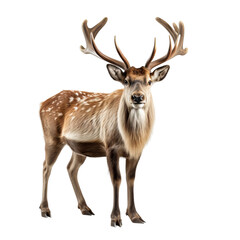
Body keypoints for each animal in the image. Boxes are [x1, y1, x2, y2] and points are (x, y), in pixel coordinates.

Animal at [39, 16, 188, 227]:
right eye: (126, 81)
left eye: (149, 81)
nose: (137, 97)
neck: (130, 138)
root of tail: (42, 103)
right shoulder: (110, 146)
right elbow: (116, 179)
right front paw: (115, 218)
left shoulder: (136, 151)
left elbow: (131, 178)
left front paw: (135, 215)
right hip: (51, 136)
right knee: (46, 167)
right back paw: (45, 209)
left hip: (78, 147)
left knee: (71, 168)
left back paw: (85, 208)